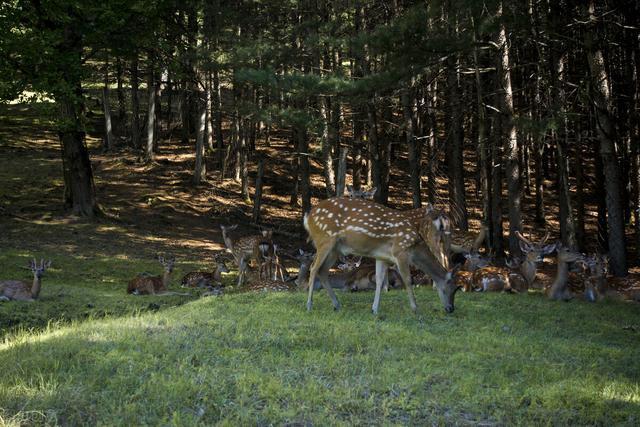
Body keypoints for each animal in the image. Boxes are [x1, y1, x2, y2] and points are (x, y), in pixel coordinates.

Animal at [302, 197, 458, 314]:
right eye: (451, 288)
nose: (451, 308)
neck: (415, 248)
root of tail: (308, 218)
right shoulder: (400, 251)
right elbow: (408, 280)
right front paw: (415, 308)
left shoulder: (382, 256)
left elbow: (379, 280)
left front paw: (374, 309)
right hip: (324, 240)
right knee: (314, 268)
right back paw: (309, 305)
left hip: (335, 249)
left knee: (322, 271)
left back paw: (336, 304)